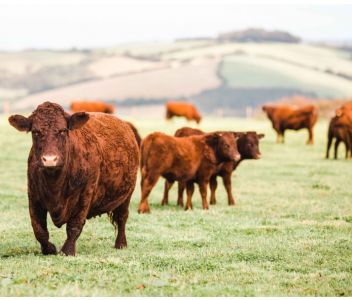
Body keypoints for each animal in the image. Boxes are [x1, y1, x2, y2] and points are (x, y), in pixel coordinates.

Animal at [8, 101, 139, 255]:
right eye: (35, 131)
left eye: (63, 130)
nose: (50, 159)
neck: (55, 185)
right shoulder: (33, 195)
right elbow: (39, 229)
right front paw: (49, 249)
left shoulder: (85, 195)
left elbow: (74, 226)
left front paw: (67, 250)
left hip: (127, 195)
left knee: (122, 218)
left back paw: (121, 243)